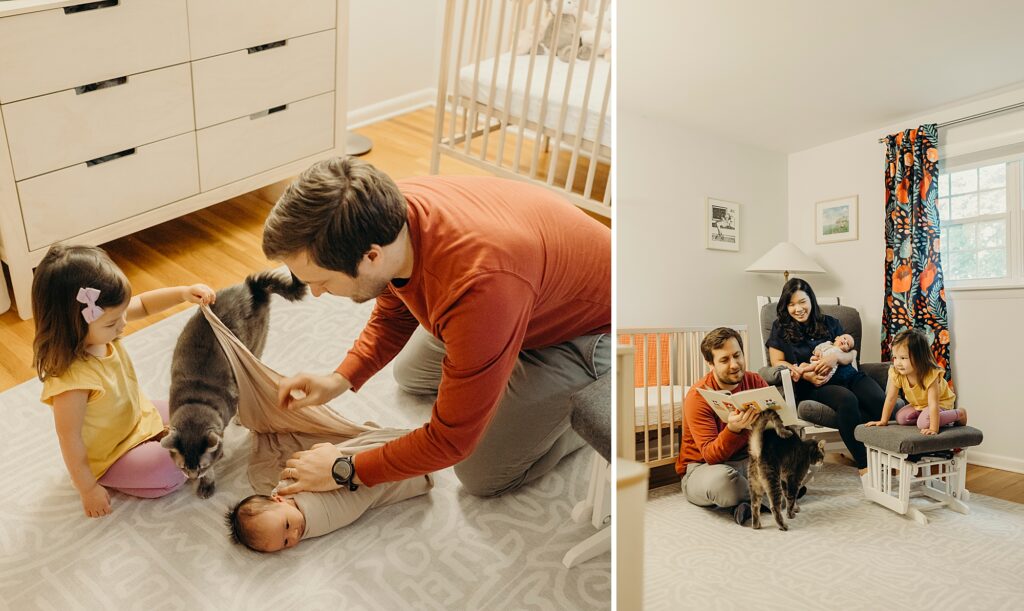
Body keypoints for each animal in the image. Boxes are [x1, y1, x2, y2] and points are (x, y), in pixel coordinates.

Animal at [161, 272, 305, 495]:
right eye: (183, 467)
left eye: (200, 467)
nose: (192, 476)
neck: (196, 400)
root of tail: (251, 288)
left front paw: (207, 481)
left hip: (254, 345)